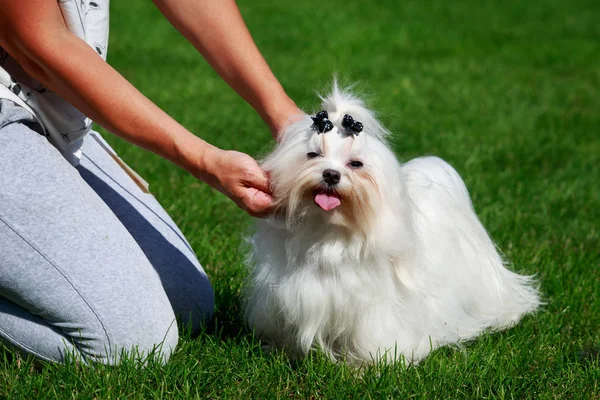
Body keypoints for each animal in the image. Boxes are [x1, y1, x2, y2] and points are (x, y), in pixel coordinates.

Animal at [243, 84, 540, 366]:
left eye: (356, 164)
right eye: (313, 155)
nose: (331, 174)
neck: (329, 232)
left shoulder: (370, 311)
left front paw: (362, 367)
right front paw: (282, 351)